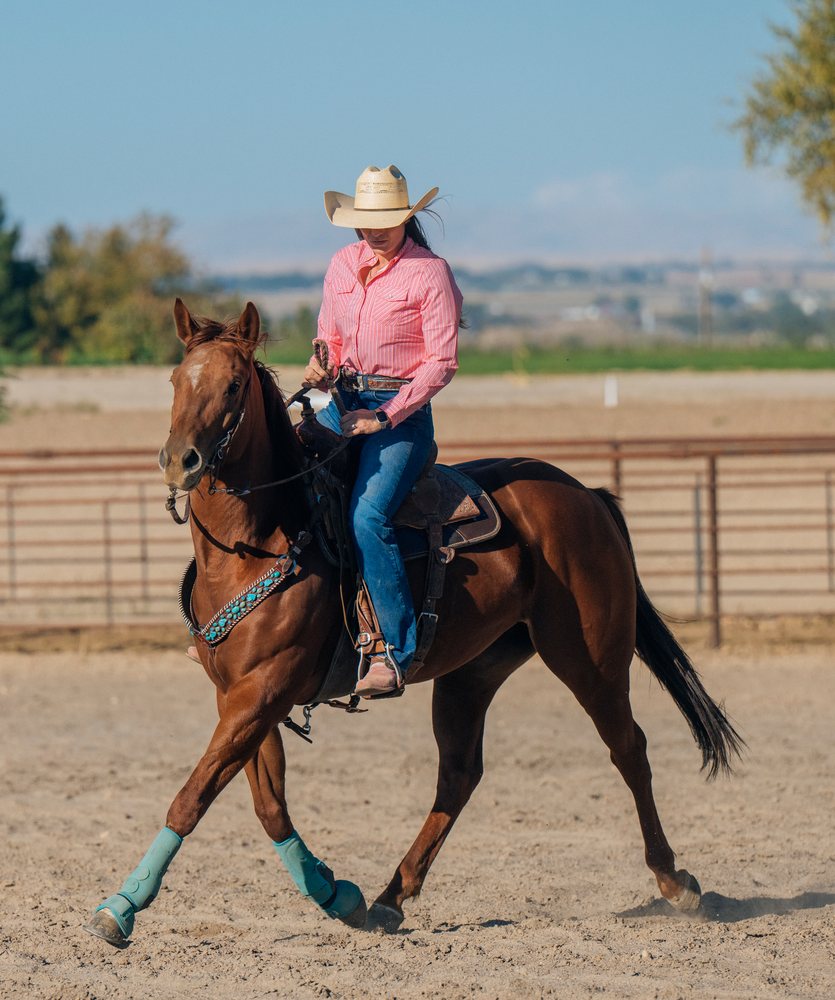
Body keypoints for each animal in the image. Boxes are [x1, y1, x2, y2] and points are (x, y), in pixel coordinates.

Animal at [85, 299, 742, 946]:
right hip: (473, 672)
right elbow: (269, 808)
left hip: (591, 657)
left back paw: (676, 883)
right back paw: (388, 897)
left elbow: (192, 796)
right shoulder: (239, 696)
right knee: (459, 775)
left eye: (235, 383)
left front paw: (122, 907)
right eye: (175, 379)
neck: (260, 543)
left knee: (628, 747)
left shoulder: (263, 690)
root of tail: (586, 495)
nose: (180, 461)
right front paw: (337, 895)